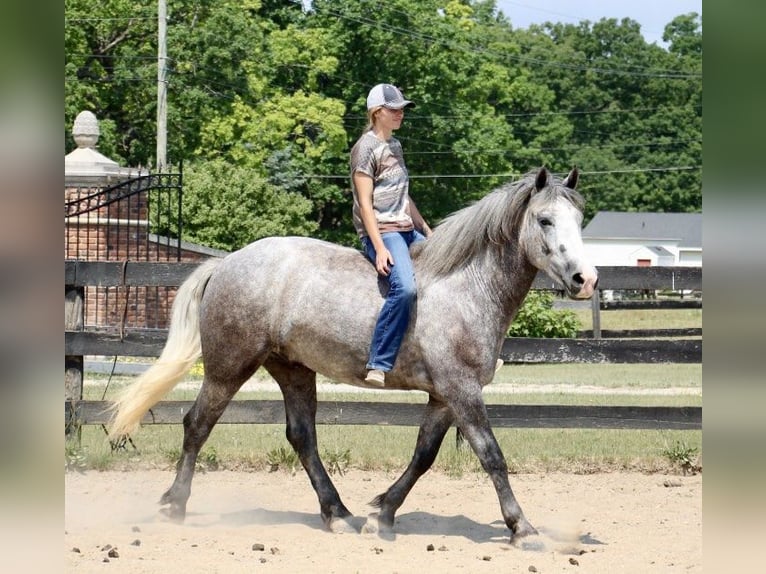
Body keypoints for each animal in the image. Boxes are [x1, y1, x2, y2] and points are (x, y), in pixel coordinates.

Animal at [109, 168, 600, 544]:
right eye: (544, 220)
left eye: (579, 218)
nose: (586, 279)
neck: (466, 288)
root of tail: (227, 262)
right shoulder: (461, 392)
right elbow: (491, 455)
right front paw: (522, 528)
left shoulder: (445, 398)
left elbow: (424, 456)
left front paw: (381, 514)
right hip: (229, 367)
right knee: (197, 425)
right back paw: (174, 505)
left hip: (293, 371)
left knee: (302, 438)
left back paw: (338, 514)